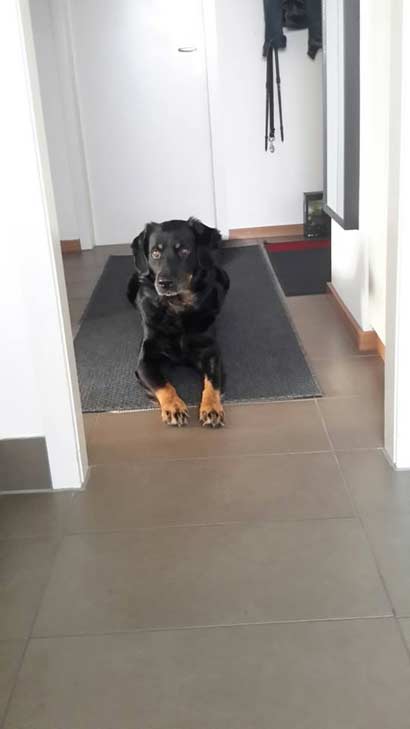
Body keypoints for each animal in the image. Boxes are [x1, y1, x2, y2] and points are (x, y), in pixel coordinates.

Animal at [127, 217, 230, 427]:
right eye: (155, 253)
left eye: (184, 251)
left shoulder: (211, 351)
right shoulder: (144, 360)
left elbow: (212, 382)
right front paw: (174, 407)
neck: (176, 308)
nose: (164, 283)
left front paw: (211, 407)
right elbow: (162, 383)